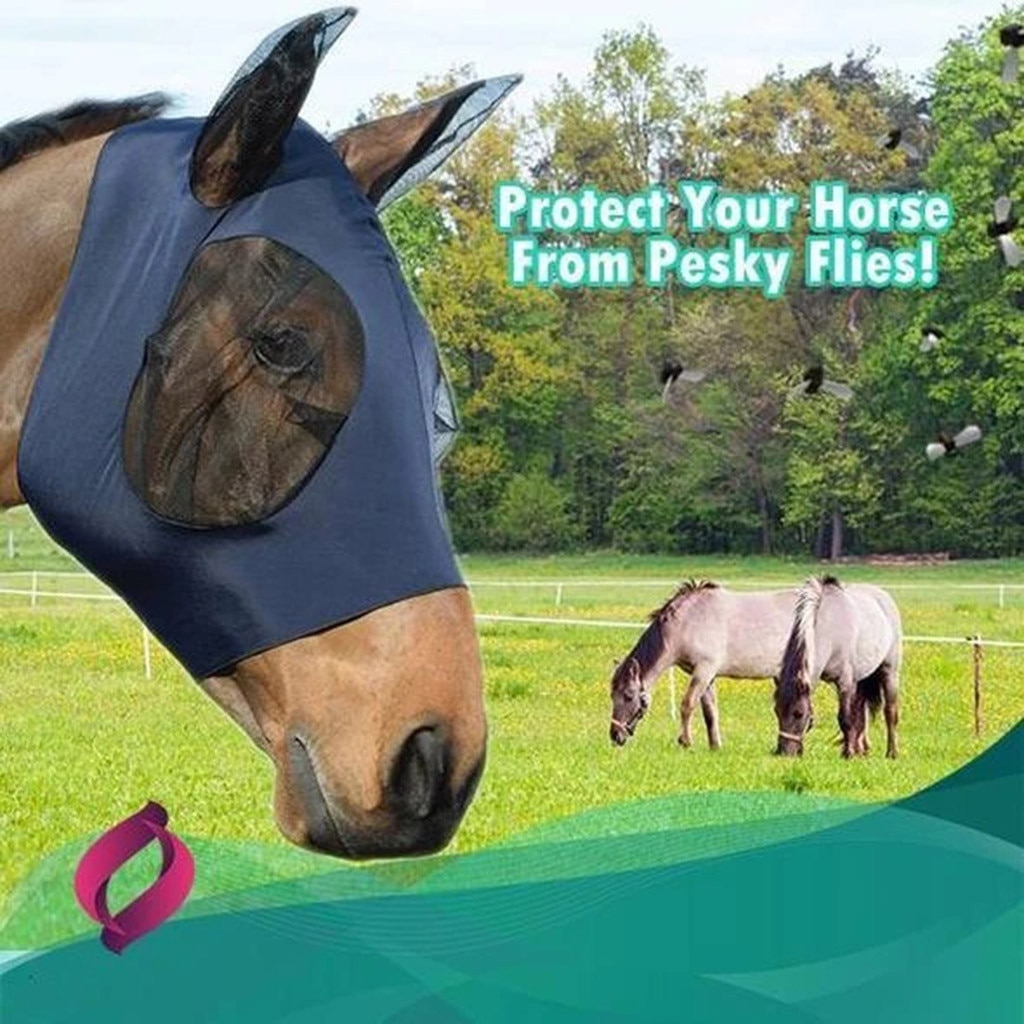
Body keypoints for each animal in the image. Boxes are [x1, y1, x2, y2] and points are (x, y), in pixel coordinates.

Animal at [609, 580, 798, 748]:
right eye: (612, 695)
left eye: (628, 696)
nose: (615, 735)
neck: (687, 622)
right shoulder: (708, 677)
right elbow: (710, 713)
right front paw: (715, 746)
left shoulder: (703, 671)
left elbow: (687, 704)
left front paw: (685, 741)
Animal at [774, 576, 902, 759]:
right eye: (776, 711)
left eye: (799, 713)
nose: (784, 752)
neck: (830, 629)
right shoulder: (850, 683)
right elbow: (853, 716)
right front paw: (851, 751)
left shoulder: (844, 682)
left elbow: (845, 718)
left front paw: (848, 754)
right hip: (861, 679)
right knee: (861, 712)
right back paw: (862, 750)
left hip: (890, 672)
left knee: (890, 712)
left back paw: (891, 753)